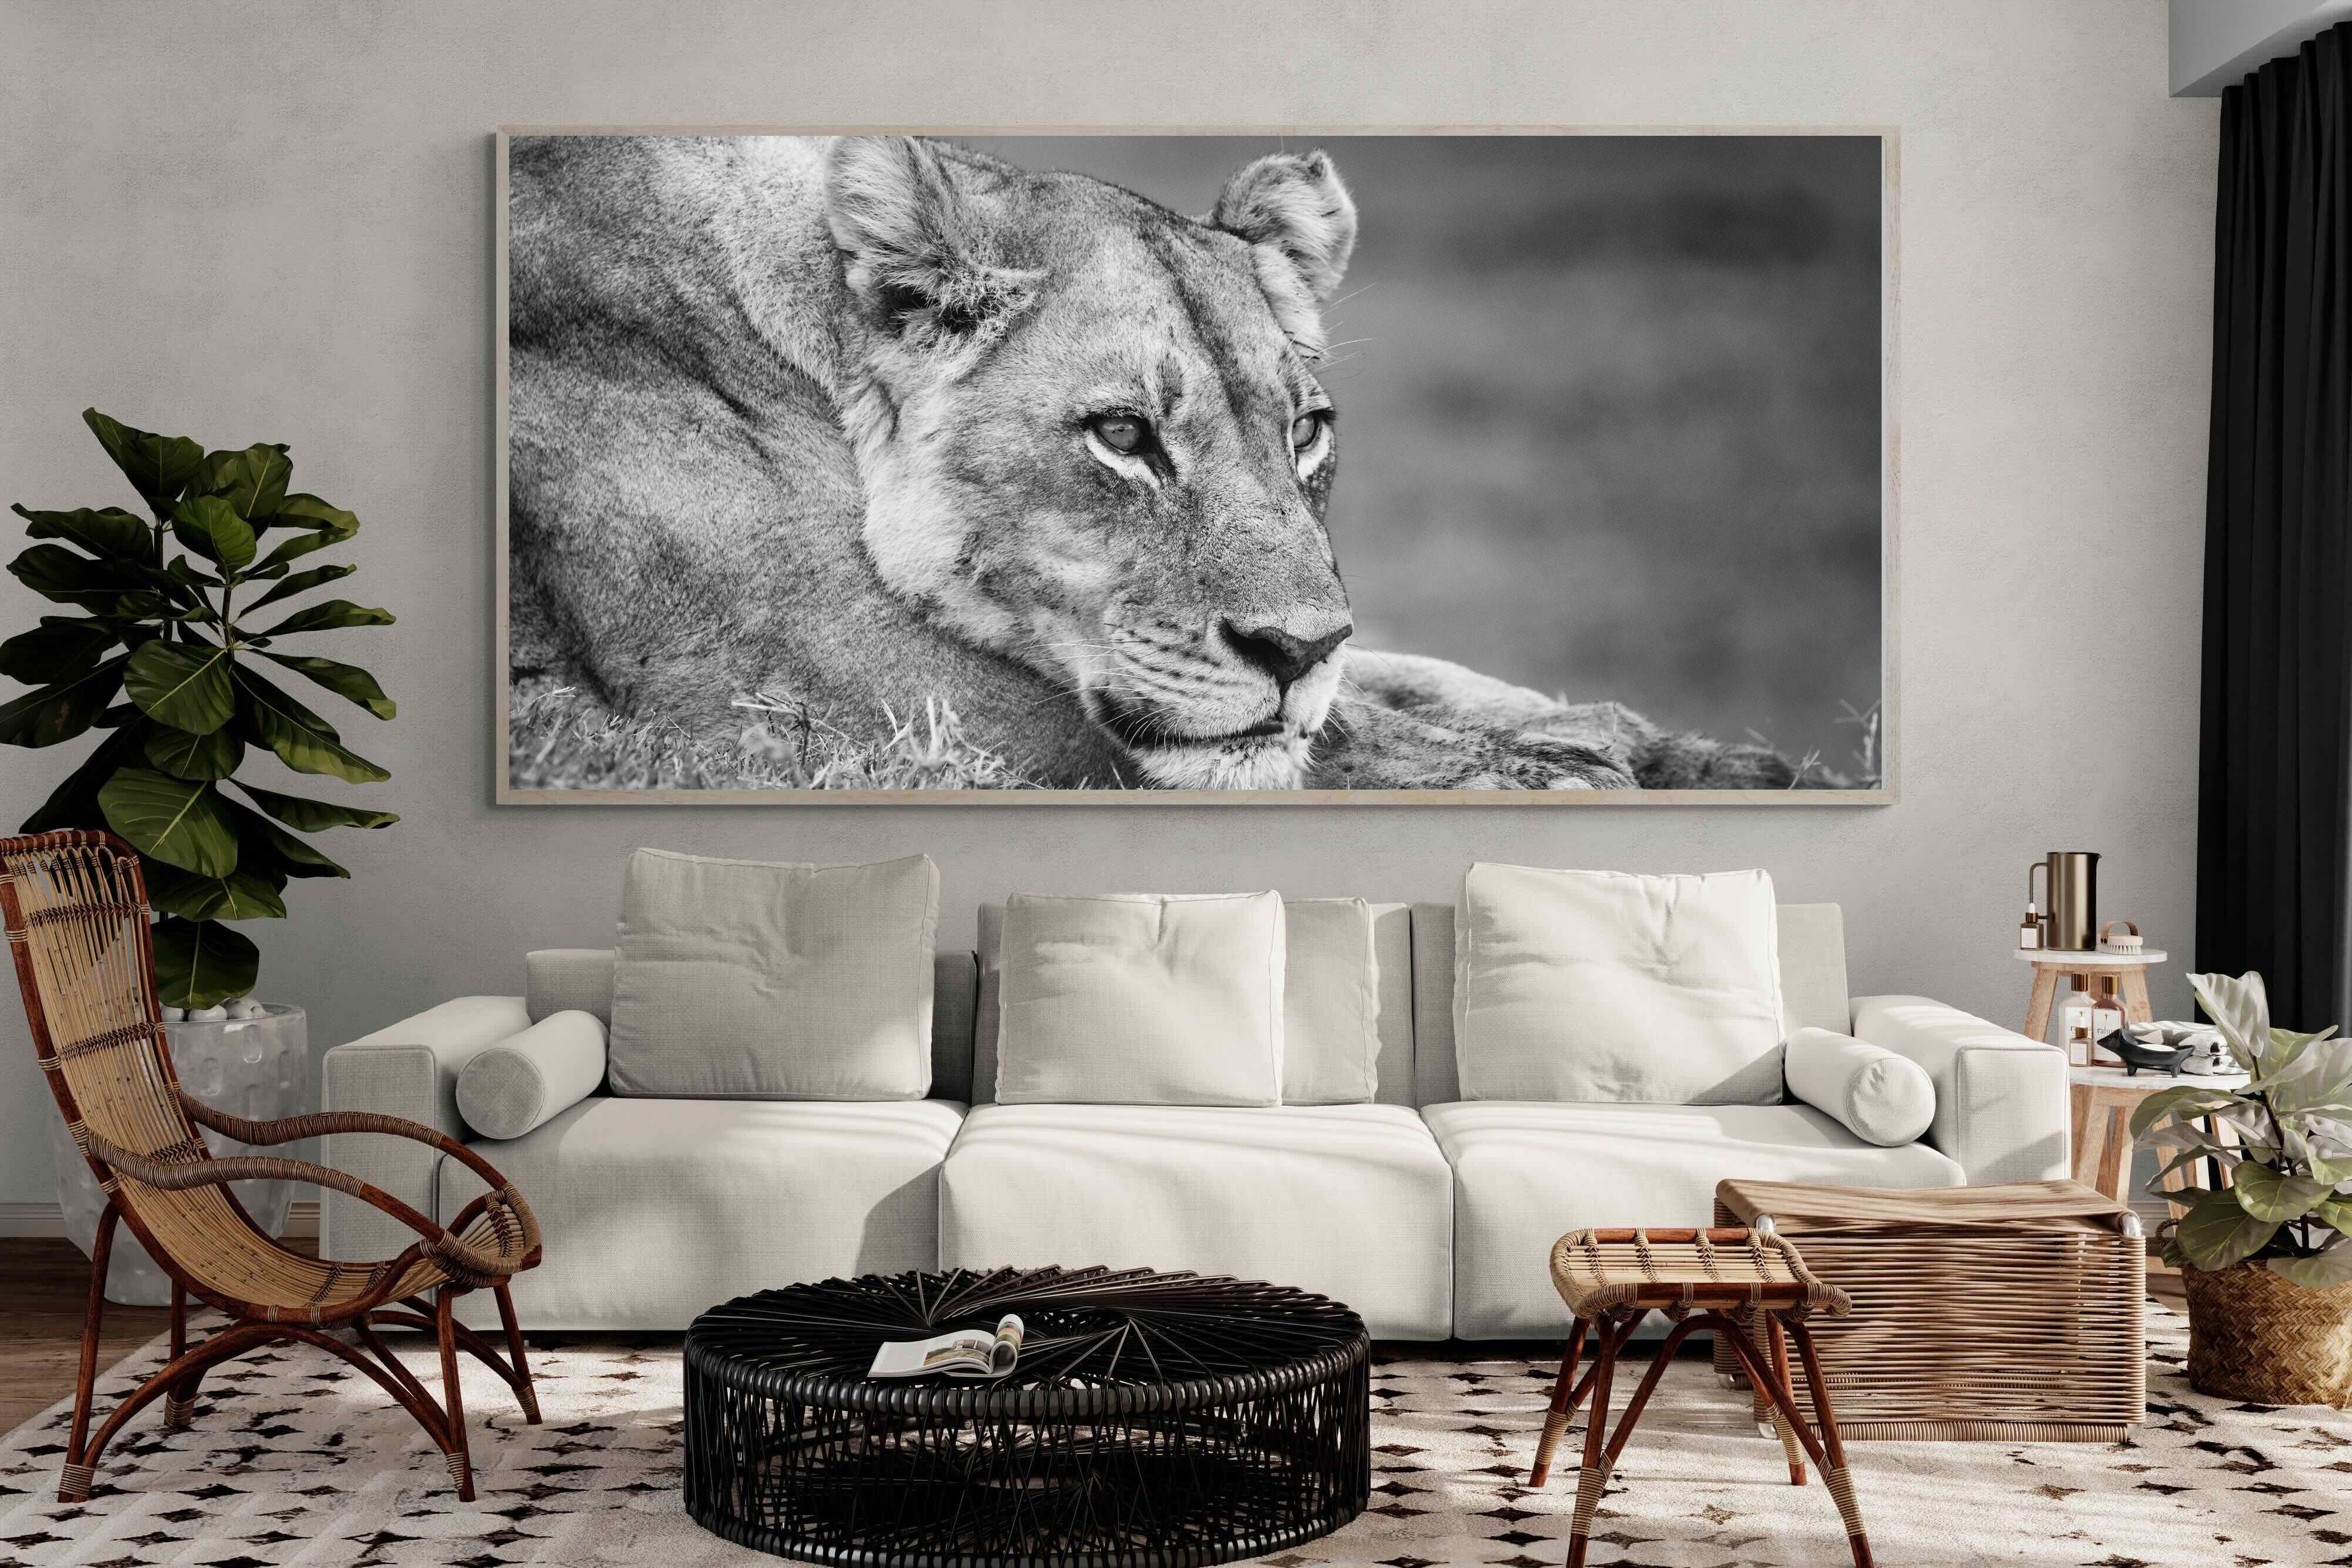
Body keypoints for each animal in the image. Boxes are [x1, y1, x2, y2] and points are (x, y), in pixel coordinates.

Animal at [507, 134, 1801, 791]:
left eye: (1304, 431)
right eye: (1123, 436)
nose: (1291, 651)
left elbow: (1397, 676)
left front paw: (1684, 750)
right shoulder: (826, 694)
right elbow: (1335, 737)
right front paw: (1554, 772)